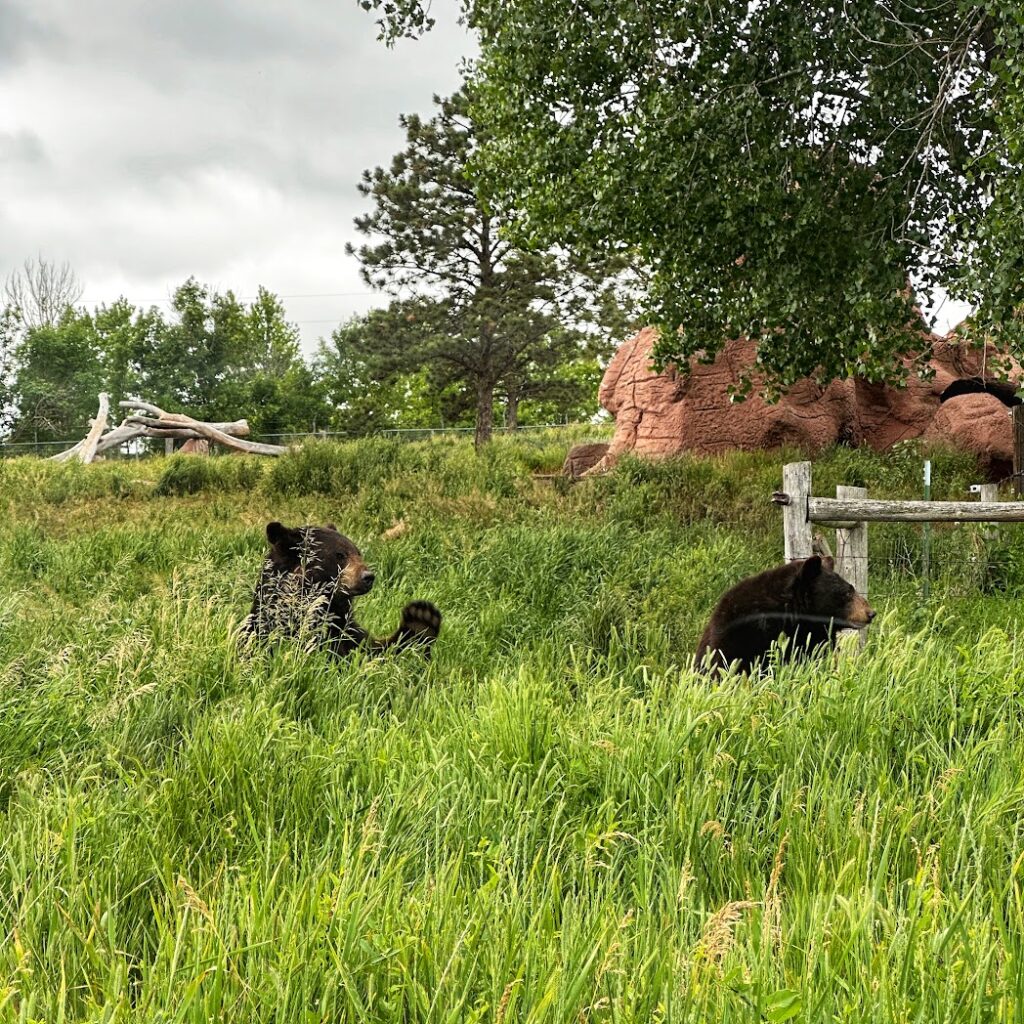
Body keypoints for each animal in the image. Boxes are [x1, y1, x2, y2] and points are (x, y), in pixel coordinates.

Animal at [247, 524, 444, 659]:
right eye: (340, 555)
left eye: (358, 552)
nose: (368, 577)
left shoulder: (346, 629)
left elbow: (373, 649)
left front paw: (422, 619)